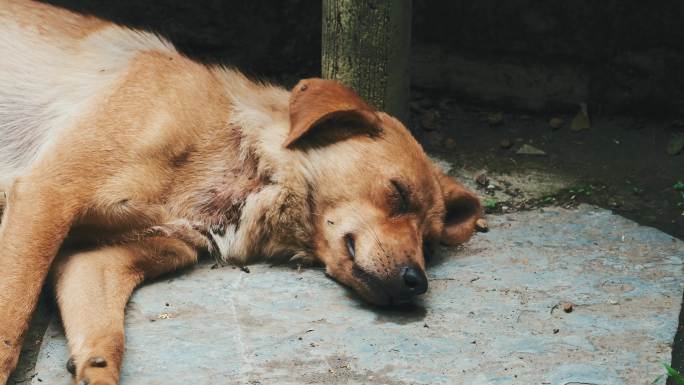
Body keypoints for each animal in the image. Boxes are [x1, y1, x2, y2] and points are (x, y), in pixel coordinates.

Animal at [0, 1, 480, 382]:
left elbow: (105, 340)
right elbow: (12, 319)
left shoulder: (92, 258)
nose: (417, 282)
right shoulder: (48, 195)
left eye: (430, 243)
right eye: (398, 194)